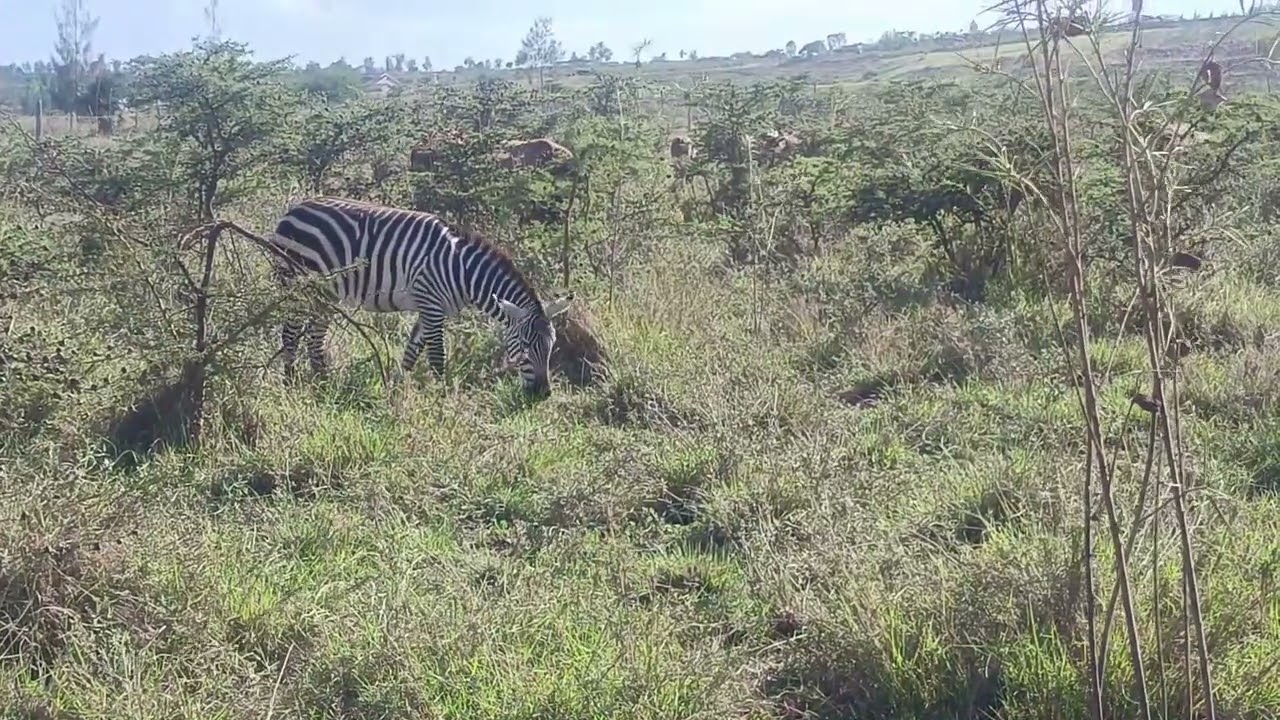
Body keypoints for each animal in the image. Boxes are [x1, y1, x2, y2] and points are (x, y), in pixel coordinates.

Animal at [263, 196, 573, 398]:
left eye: (551, 346)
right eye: (526, 345)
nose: (544, 394)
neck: (463, 271)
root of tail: (291, 212)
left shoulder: (432, 307)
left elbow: (412, 351)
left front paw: (398, 390)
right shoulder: (431, 303)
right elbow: (436, 356)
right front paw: (441, 399)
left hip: (326, 293)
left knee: (314, 336)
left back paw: (322, 383)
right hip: (297, 282)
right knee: (290, 334)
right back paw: (291, 385)